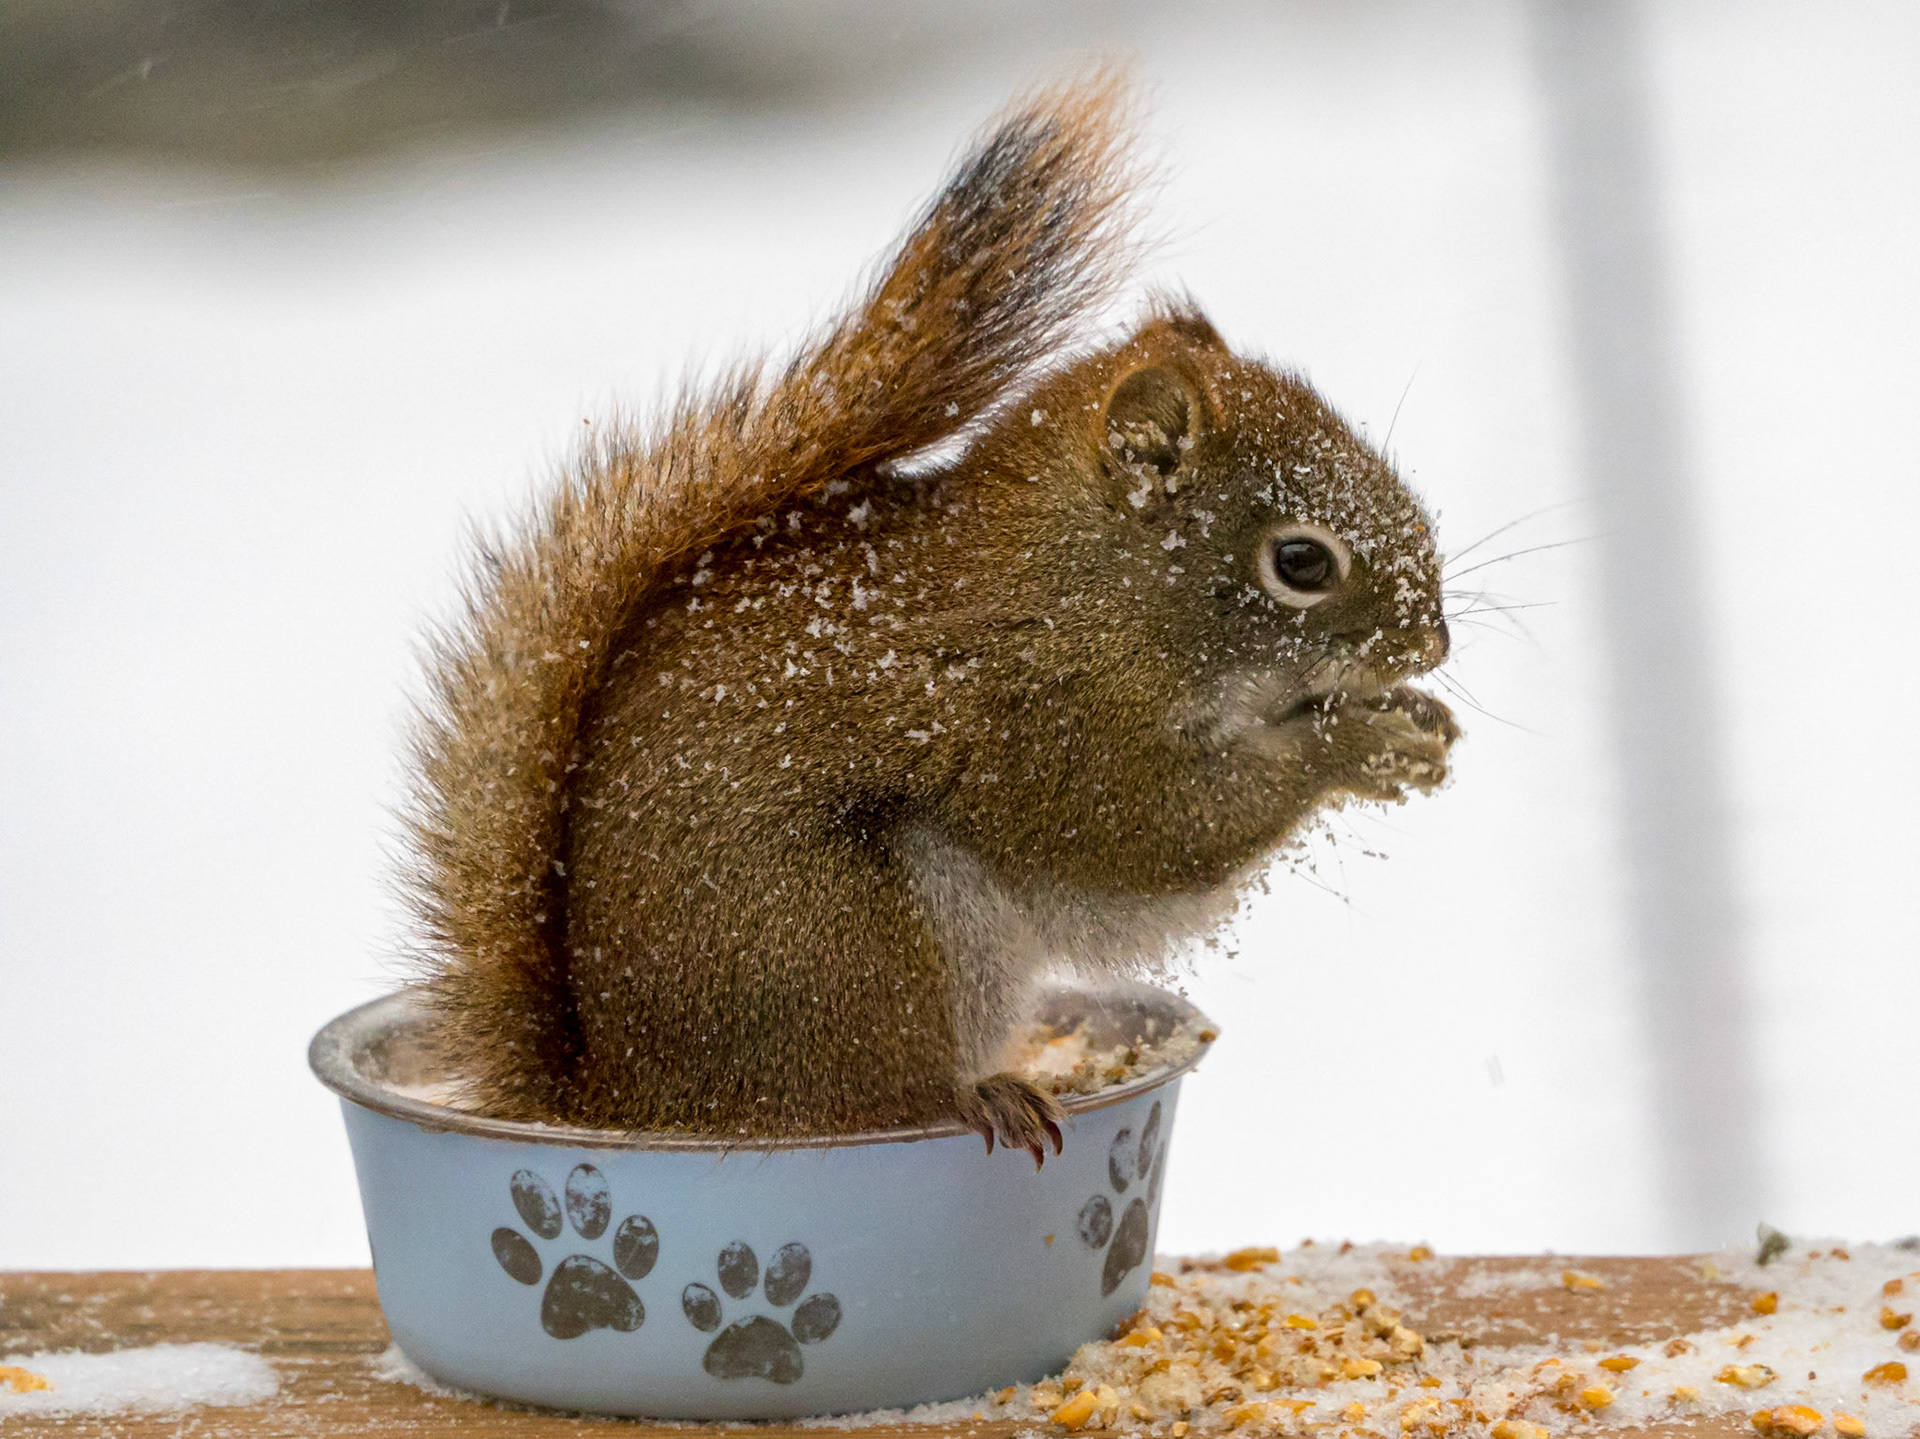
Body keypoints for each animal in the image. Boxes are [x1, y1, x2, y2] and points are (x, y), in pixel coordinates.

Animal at [402, 74, 1458, 1162]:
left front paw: (1421, 723)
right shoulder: (1045, 721)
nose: (1435, 639)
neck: (1091, 588)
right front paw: (1355, 744)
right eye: (1300, 561)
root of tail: (627, 1094)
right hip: (855, 940)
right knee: (878, 1095)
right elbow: (1153, 830)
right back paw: (978, 1095)